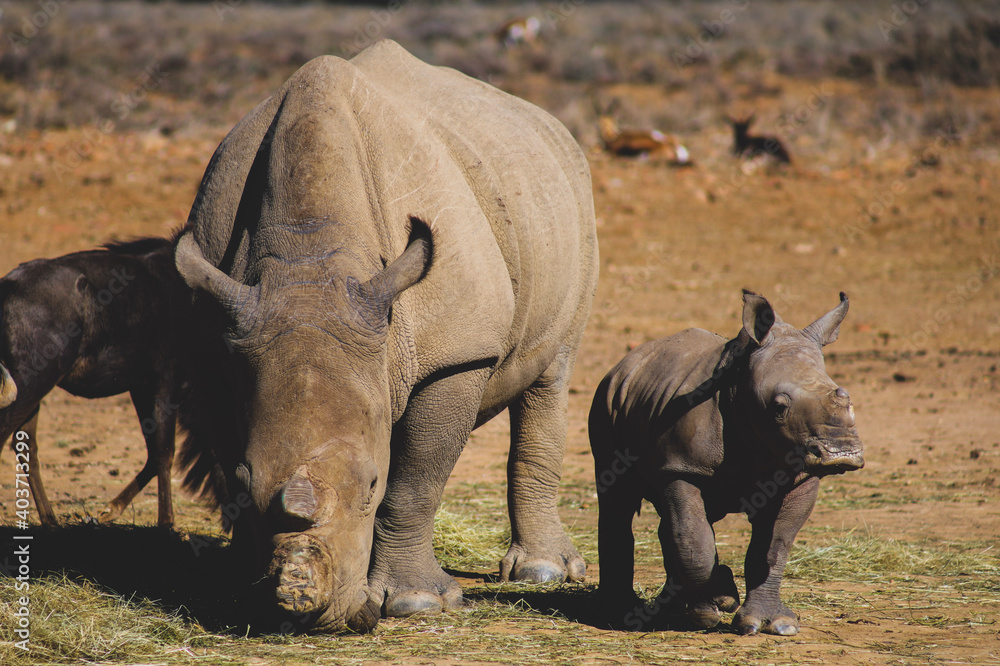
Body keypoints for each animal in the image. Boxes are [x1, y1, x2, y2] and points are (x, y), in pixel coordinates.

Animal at [174, 40, 599, 633]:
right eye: (245, 478)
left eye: (372, 484)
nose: (306, 606)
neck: (309, 259)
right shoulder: (215, 351)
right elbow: (226, 457)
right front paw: (238, 588)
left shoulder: (455, 356)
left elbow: (415, 482)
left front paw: (414, 602)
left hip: (570, 201)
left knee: (551, 372)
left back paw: (543, 573)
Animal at [589, 290, 864, 635]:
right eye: (779, 407)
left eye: (847, 398)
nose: (842, 454)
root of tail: (625, 363)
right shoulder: (682, 468)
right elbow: (695, 541)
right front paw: (710, 608)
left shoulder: (802, 476)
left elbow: (774, 547)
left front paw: (774, 624)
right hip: (607, 399)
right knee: (620, 499)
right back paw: (622, 612)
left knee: (674, 520)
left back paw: (680, 605)